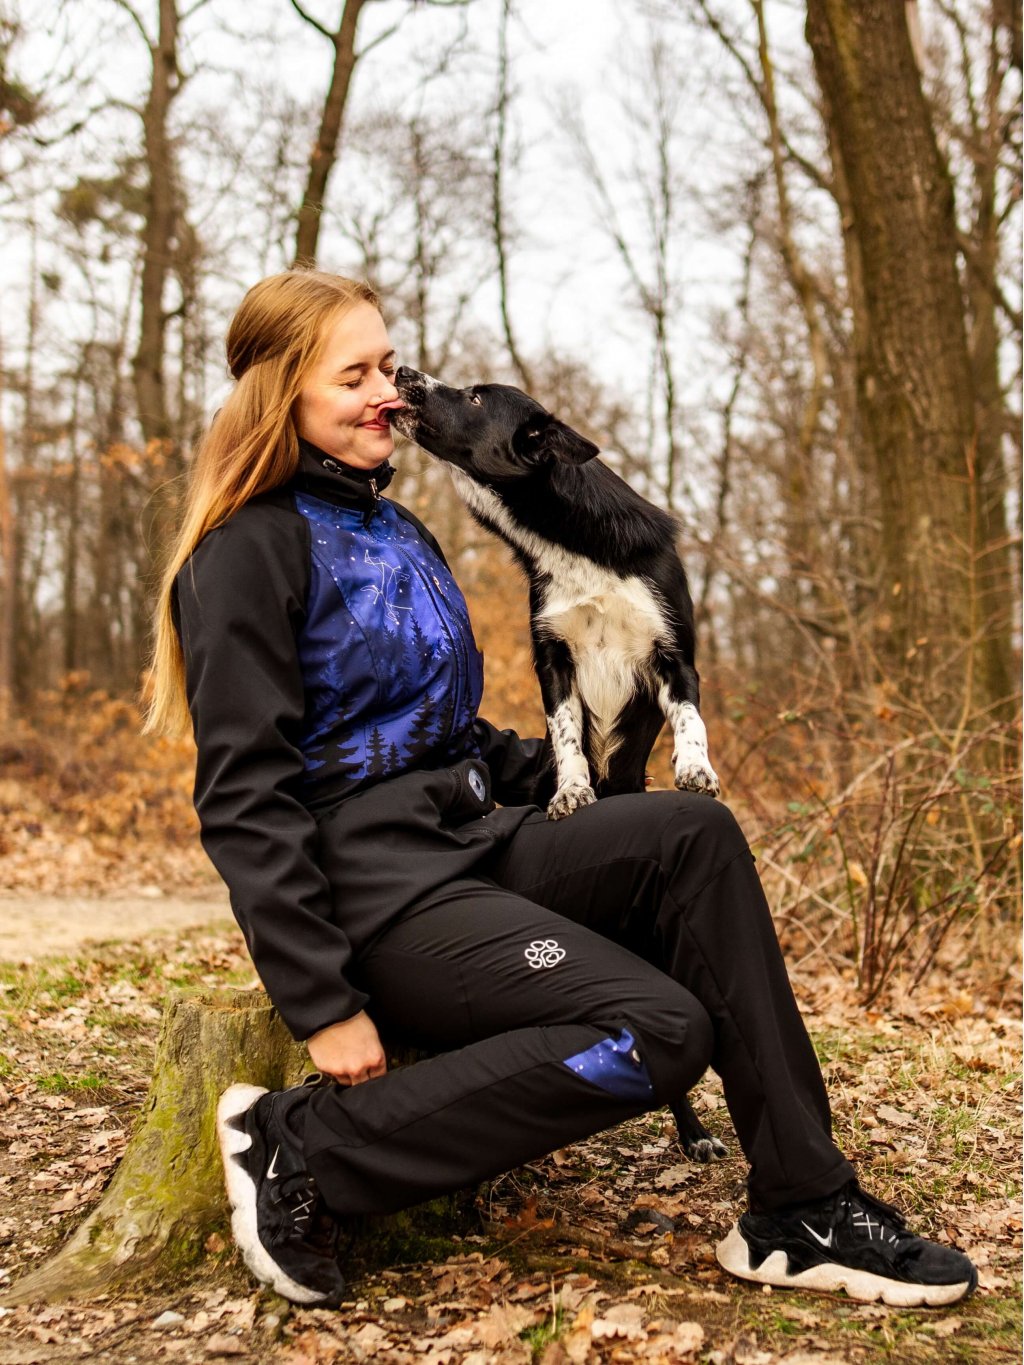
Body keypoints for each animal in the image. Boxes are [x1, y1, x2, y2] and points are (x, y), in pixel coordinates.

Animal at [393, 365, 720, 819]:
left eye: (476, 398)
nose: (403, 370)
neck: (576, 550)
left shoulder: (674, 654)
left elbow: (691, 718)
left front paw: (695, 768)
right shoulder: (553, 661)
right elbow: (566, 735)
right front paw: (571, 791)